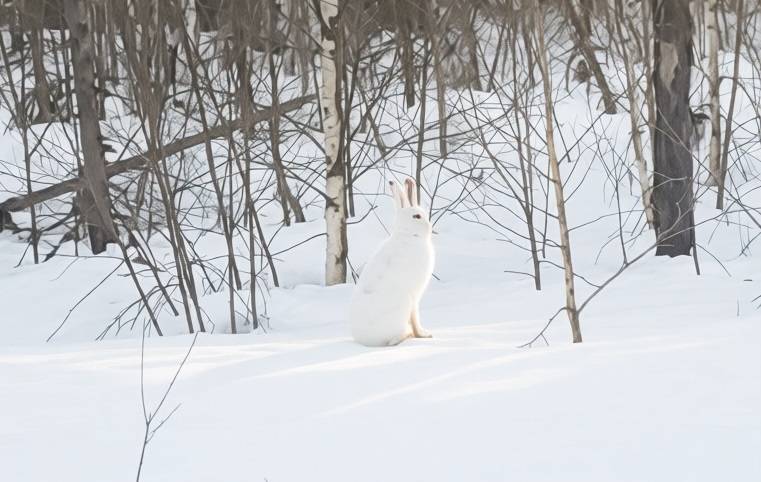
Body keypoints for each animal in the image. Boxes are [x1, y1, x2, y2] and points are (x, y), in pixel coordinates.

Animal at [350, 177, 435, 347]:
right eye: (417, 216)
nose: (430, 227)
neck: (408, 235)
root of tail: (366, 340)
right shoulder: (414, 296)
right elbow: (415, 318)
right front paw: (424, 335)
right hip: (404, 304)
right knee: (392, 341)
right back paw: (406, 335)